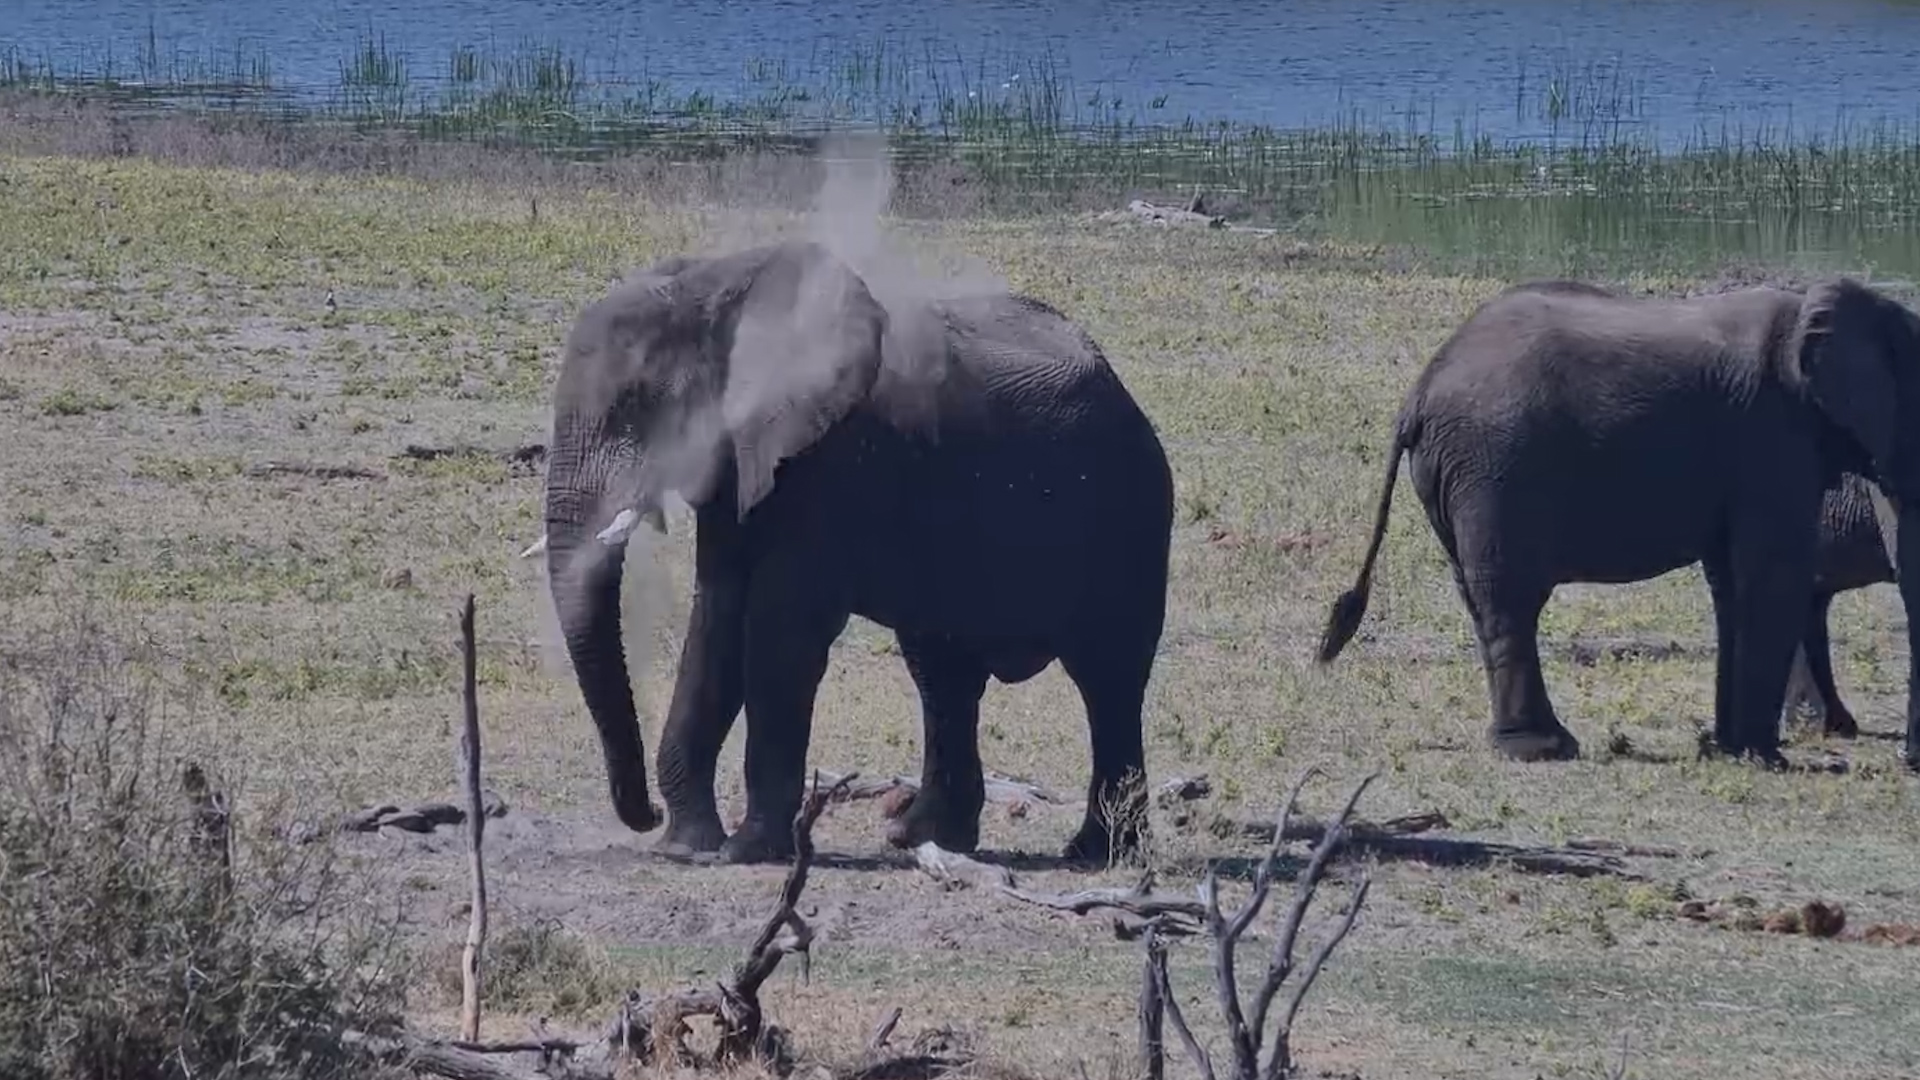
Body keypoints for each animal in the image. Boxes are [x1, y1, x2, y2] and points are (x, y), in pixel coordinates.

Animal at [541, 239, 1175, 865]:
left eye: (634, 405)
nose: (645, 814)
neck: (720, 284)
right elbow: (717, 619)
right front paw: (688, 846)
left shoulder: (833, 468)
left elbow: (780, 635)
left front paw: (744, 852)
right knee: (943, 674)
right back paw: (921, 838)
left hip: (1131, 512)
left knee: (1108, 678)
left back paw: (1095, 853)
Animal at [1315, 276, 1920, 770]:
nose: (1908, 762)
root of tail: (1418, 392)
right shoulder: (1772, 435)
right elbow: (1770, 577)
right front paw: (1760, 759)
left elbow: (1732, 581)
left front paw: (1726, 751)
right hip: (1492, 469)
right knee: (1511, 597)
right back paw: (1542, 750)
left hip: (1459, 475)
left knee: (1483, 598)